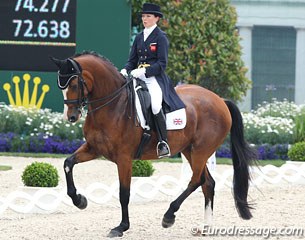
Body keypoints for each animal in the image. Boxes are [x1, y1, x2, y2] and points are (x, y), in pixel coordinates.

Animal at [51, 51, 255, 237]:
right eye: (61, 87)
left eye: (75, 84)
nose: (71, 117)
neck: (113, 105)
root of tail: (220, 100)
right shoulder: (94, 149)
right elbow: (68, 163)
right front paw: (79, 200)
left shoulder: (124, 158)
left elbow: (124, 193)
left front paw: (121, 227)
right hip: (189, 151)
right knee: (208, 183)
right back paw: (205, 227)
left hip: (201, 150)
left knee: (197, 180)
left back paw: (169, 216)